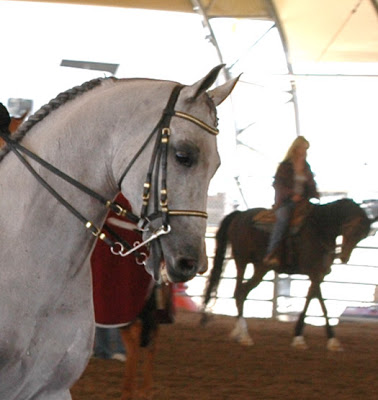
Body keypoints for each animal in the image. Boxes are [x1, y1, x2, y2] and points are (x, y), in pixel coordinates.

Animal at [202, 199, 374, 350]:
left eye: (363, 236)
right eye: (353, 229)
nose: (344, 257)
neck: (320, 227)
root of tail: (239, 215)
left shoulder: (319, 275)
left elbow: (312, 299)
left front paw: (321, 339)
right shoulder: (314, 273)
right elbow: (322, 304)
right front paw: (305, 339)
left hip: (261, 268)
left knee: (243, 292)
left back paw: (238, 333)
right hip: (241, 260)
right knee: (238, 291)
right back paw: (244, 336)